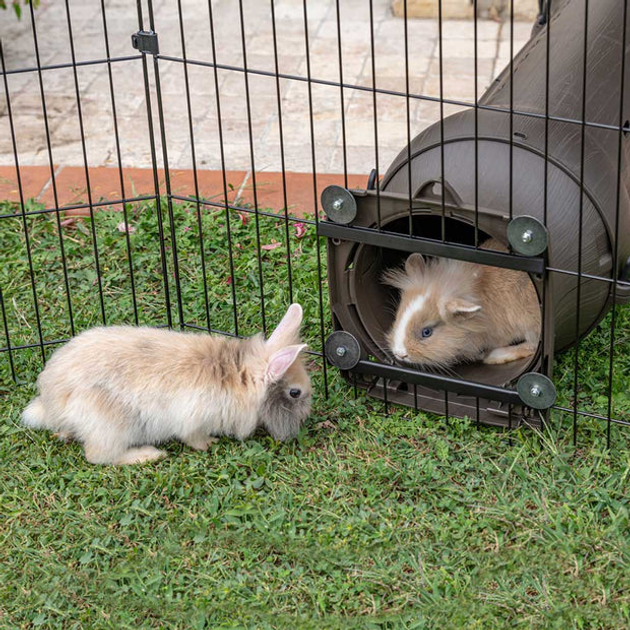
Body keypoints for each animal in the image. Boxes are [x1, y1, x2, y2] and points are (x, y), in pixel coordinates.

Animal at [22, 304, 314, 466]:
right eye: (295, 393)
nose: (306, 419)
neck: (239, 374)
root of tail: (51, 404)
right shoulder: (193, 418)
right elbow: (193, 437)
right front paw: (209, 444)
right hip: (111, 426)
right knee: (98, 456)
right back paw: (149, 455)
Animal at [386, 241, 544, 370]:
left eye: (426, 332)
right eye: (398, 317)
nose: (400, 354)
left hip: (530, 323)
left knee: (532, 345)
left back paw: (494, 356)